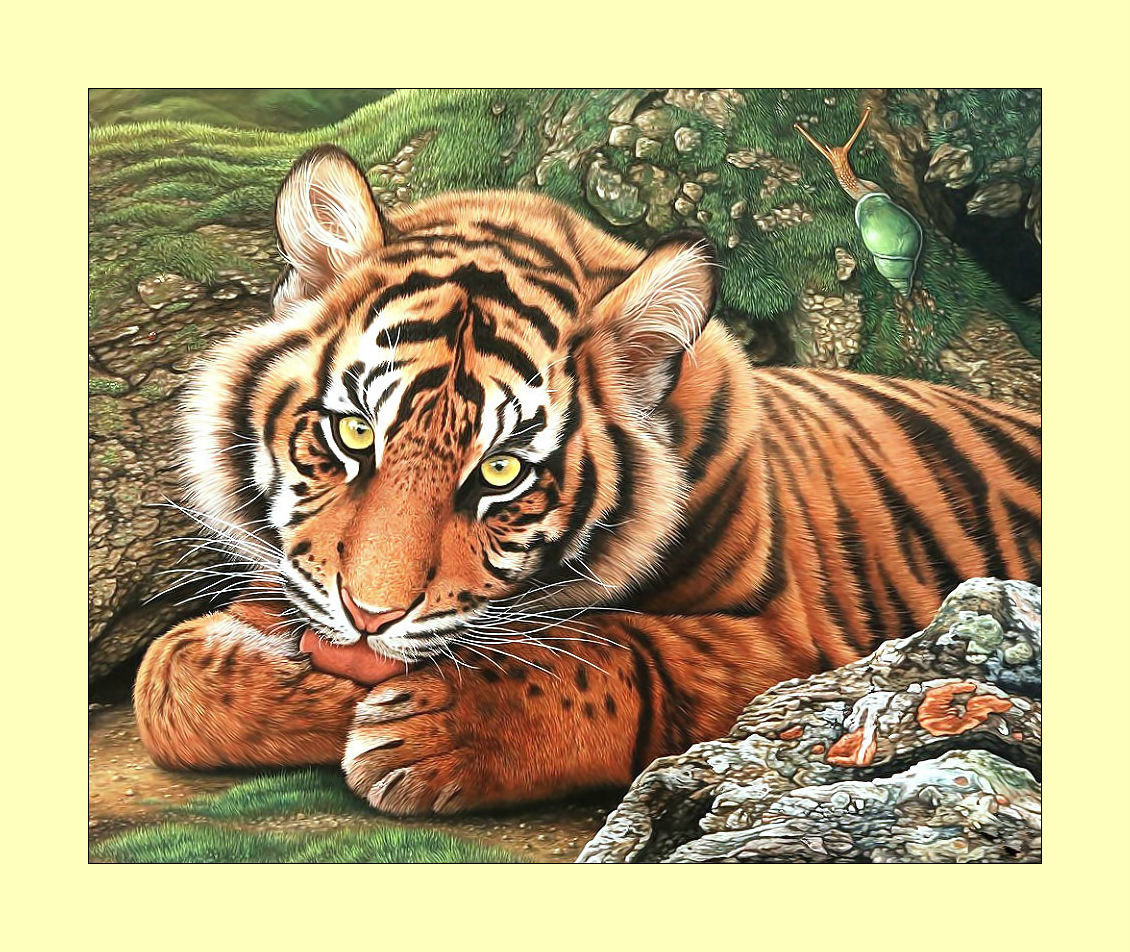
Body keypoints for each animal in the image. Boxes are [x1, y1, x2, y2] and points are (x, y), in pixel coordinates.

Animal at [133, 145, 1041, 816]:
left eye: (501, 470)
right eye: (356, 432)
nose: (369, 617)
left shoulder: (787, 642)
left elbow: (616, 655)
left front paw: (430, 728)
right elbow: (164, 676)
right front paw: (304, 684)